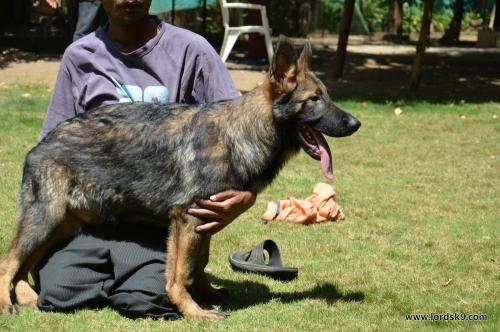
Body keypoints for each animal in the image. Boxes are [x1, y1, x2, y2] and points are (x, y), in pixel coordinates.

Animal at [0, 36, 360, 320]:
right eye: (315, 99)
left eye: (327, 95)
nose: (356, 124)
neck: (240, 133)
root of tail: (39, 147)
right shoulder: (186, 219)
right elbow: (180, 274)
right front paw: (194, 312)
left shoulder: (203, 220)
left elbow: (198, 263)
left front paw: (206, 294)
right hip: (45, 221)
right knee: (8, 263)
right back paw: (8, 304)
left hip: (61, 225)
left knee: (26, 266)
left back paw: (29, 297)